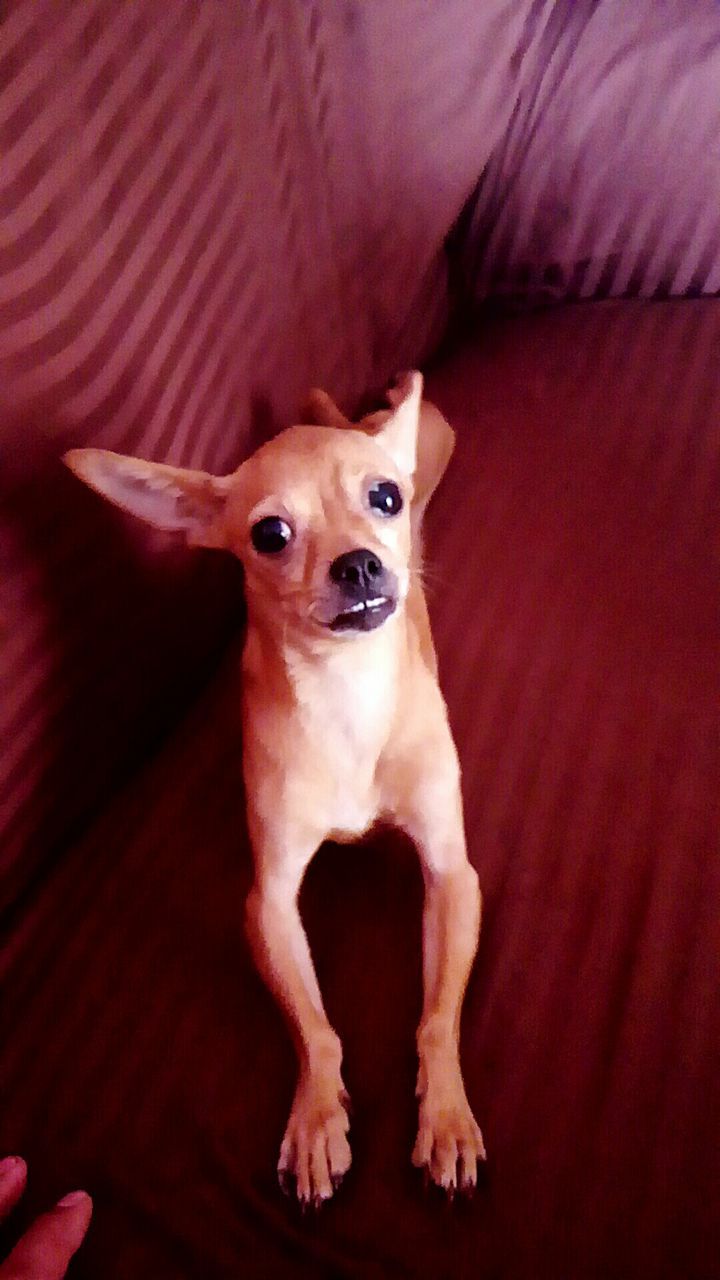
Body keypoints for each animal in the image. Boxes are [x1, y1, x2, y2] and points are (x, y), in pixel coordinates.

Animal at [64, 373, 481, 1208]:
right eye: (270, 535)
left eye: (382, 497)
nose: (358, 565)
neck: (346, 694)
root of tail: (368, 420)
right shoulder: (272, 903)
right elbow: (315, 1028)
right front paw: (317, 1118)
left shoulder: (452, 876)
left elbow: (436, 1017)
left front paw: (447, 1114)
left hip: (435, 446)